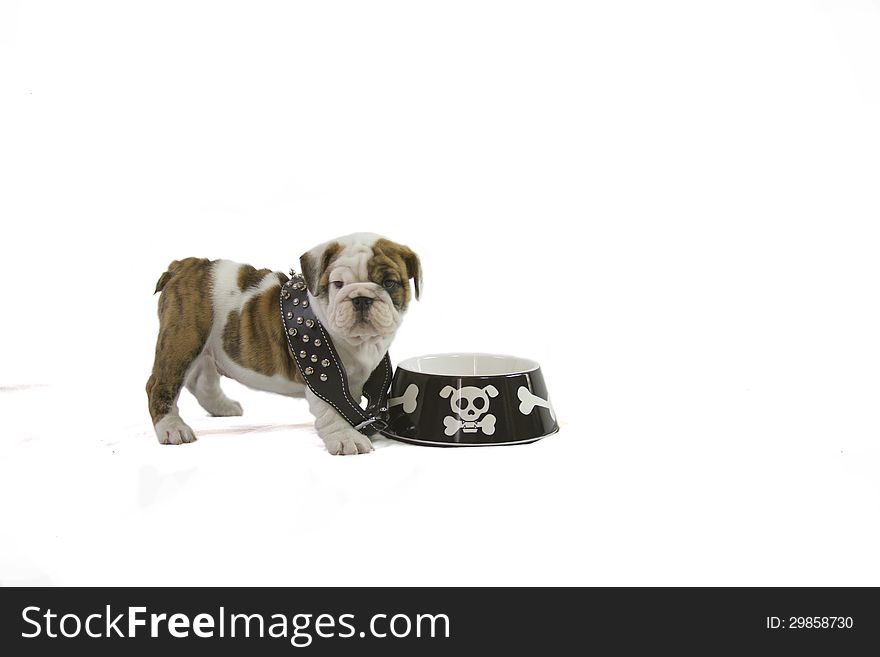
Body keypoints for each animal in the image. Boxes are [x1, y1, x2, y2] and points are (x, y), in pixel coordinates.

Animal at [144, 234, 420, 456]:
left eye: (389, 283)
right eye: (338, 284)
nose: (361, 298)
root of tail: (184, 265)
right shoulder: (322, 373)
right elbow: (332, 408)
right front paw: (347, 438)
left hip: (208, 346)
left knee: (202, 380)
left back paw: (221, 407)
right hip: (183, 339)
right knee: (160, 384)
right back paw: (172, 428)